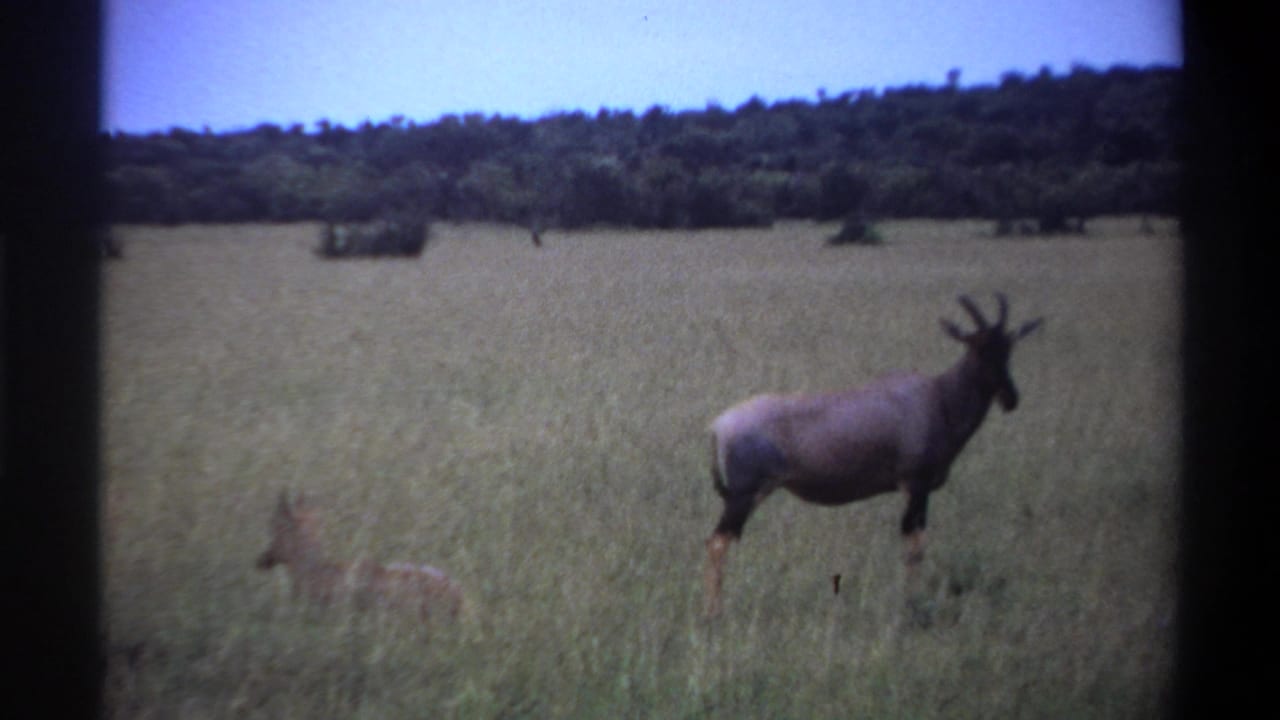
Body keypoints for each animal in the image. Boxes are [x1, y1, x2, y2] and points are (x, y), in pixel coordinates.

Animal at [703, 293, 1042, 617]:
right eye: (977, 347)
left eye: (1008, 346)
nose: (1010, 398)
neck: (937, 397)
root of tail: (720, 425)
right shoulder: (915, 486)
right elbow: (914, 547)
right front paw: (911, 606)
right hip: (744, 496)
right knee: (717, 542)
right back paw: (714, 614)